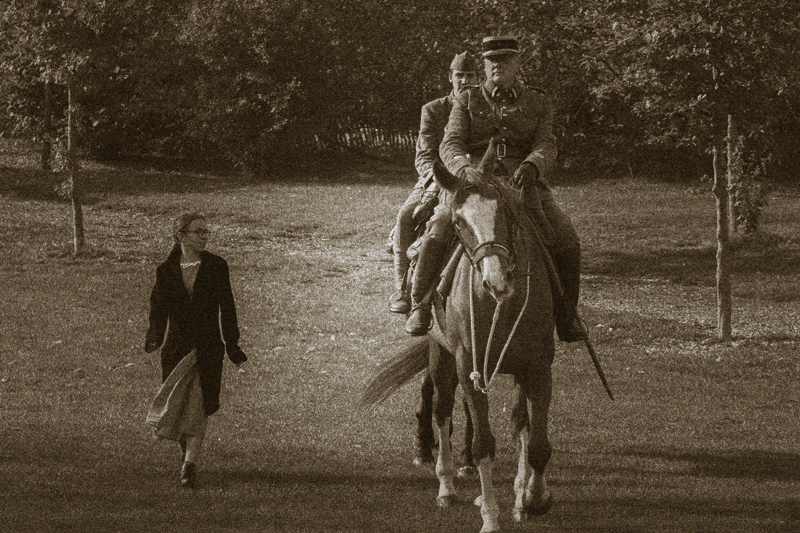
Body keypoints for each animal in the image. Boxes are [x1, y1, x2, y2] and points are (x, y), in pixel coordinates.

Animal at [362, 143, 556, 528]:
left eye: (506, 213)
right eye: (458, 224)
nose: (496, 280)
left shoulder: (536, 368)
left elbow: (533, 437)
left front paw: (530, 497)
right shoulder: (468, 362)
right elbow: (484, 443)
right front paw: (491, 517)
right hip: (443, 355)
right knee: (441, 408)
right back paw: (447, 484)